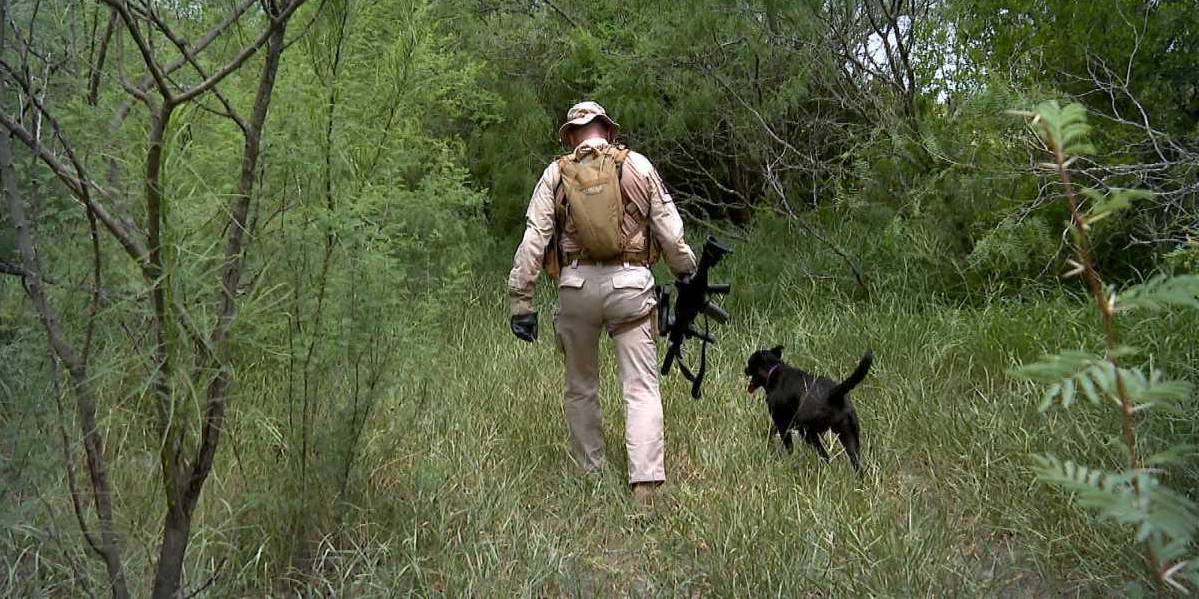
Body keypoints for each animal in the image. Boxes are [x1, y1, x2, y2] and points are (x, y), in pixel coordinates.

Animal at [738, 347, 872, 472]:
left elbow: (788, 445)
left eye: (749, 363)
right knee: (856, 464)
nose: (745, 369)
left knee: (825, 456)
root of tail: (833, 394)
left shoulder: (782, 424)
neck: (773, 370)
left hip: (808, 432)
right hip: (849, 436)